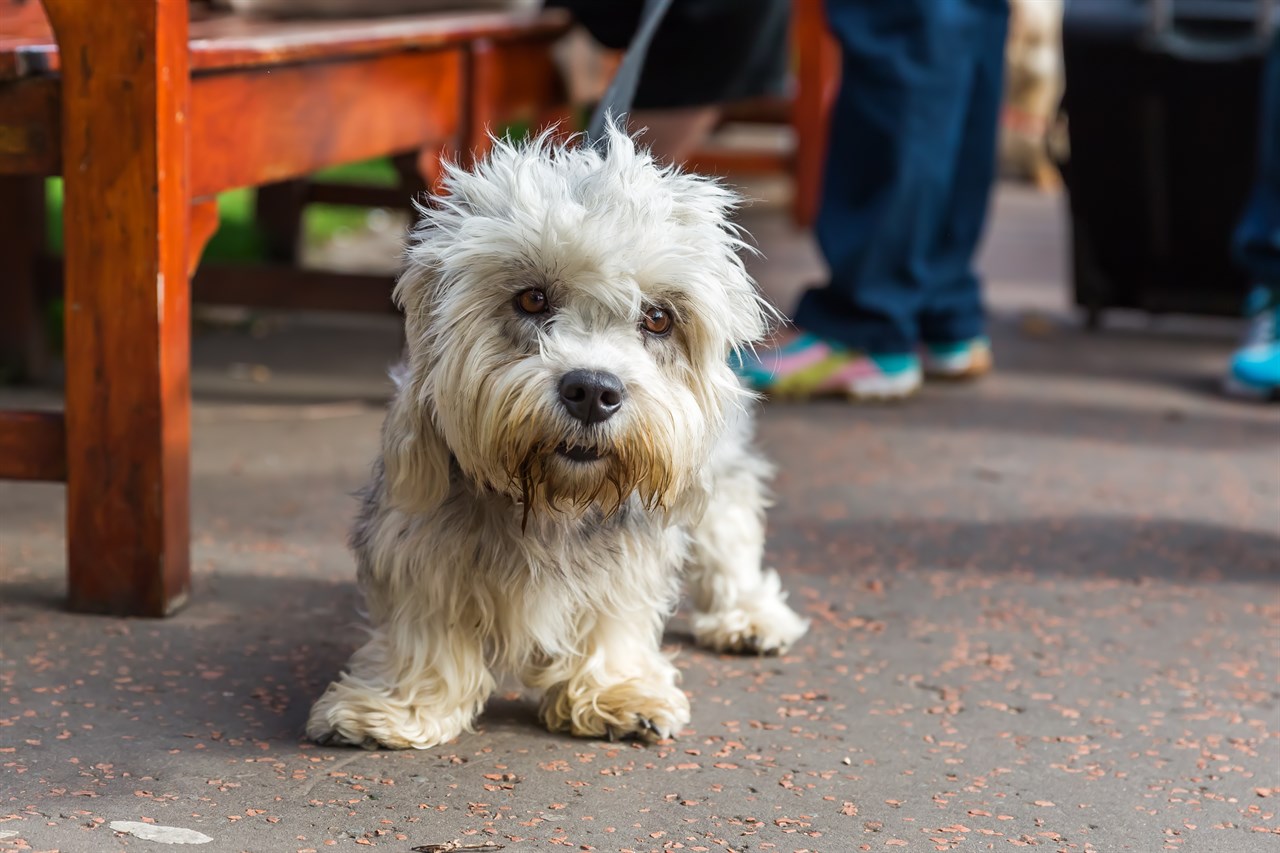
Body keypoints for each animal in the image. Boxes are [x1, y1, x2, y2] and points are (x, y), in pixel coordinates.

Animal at [307, 122, 808, 747]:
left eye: (658, 318)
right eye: (532, 298)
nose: (592, 391)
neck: (552, 501)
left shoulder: (629, 548)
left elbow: (615, 610)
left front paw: (615, 691)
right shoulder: (417, 530)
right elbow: (424, 619)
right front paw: (402, 703)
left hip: (714, 469)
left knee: (730, 529)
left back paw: (748, 615)